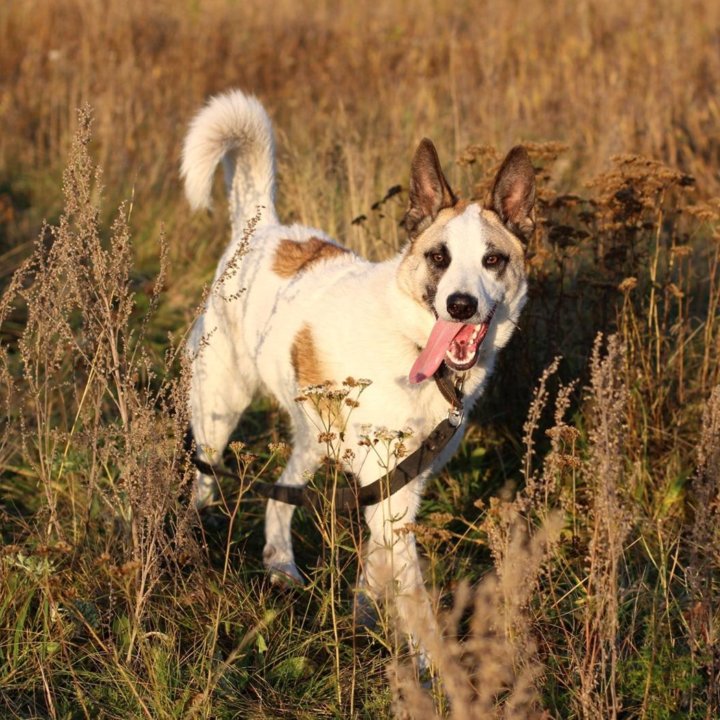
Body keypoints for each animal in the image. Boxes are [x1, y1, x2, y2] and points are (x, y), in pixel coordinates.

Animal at [184, 88, 536, 652]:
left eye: (493, 260)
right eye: (438, 257)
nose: (460, 305)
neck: (415, 350)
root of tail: (264, 228)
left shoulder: (400, 486)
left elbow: (376, 565)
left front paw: (363, 616)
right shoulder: (390, 495)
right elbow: (415, 603)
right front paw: (432, 668)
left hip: (314, 436)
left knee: (280, 494)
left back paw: (280, 566)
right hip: (218, 412)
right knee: (204, 478)